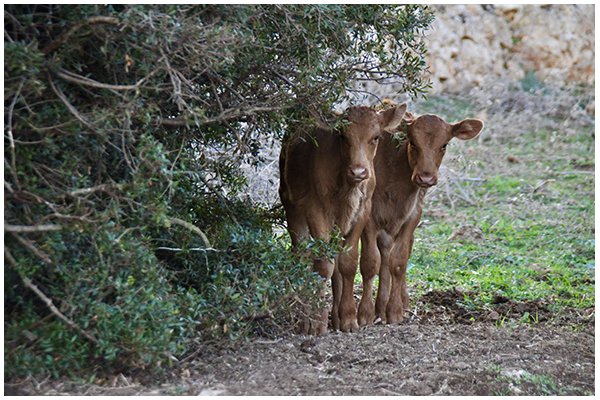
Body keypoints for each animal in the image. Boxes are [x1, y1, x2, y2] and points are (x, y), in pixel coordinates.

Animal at [278, 104, 406, 334]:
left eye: (375, 137)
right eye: (343, 136)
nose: (359, 171)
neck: (347, 186)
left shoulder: (363, 211)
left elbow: (347, 262)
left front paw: (348, 317)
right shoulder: (315, 209)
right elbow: (323, 264)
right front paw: (317, 321)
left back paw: (336, 317)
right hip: (289, 202)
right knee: (301, 253)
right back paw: (304, 318)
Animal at [356, 111, 482, 326]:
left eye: (444, 145)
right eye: (413, 143)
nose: (426, 178)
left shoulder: (413, 216)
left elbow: (399, 261)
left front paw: (395, 311)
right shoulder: (369, 216)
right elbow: (370, 262)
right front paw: (365, 313)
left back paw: (396, 303)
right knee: (384, 254)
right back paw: (380, 307)